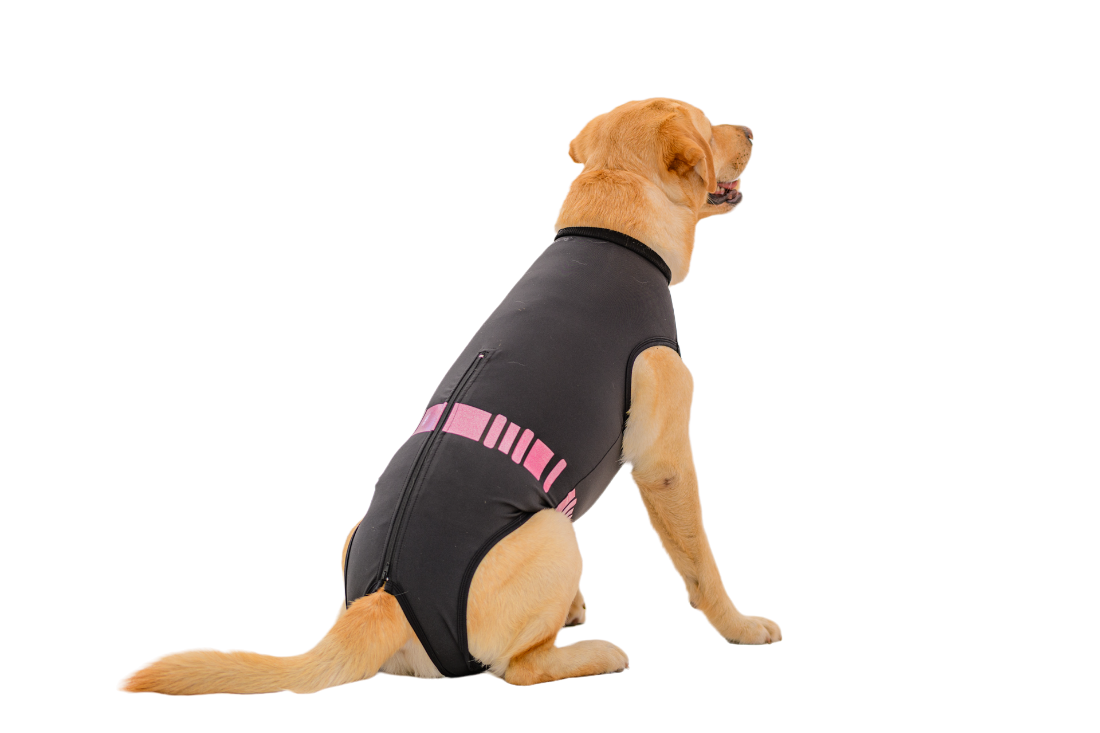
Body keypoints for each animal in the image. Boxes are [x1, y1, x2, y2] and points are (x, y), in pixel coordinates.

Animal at [124, 98, 780, 693]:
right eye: (708, 126)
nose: (751, 128)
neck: (611, 235)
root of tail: (385, 596)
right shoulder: (663, 460)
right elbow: (700, 563)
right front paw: (739, 626)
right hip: (552, 529)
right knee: (520, 669)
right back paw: (594, 653)